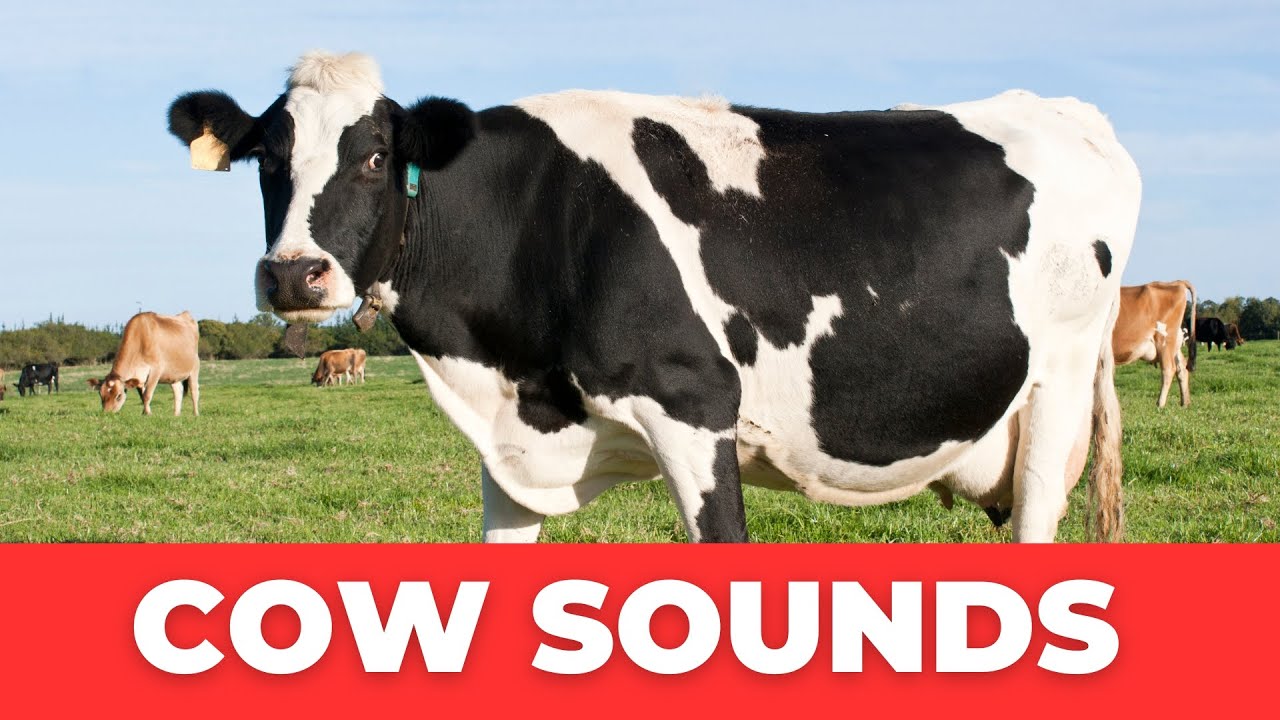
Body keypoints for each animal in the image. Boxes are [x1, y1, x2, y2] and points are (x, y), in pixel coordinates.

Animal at [168, 51, 1141, 543]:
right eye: (265, 159)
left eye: (374, 155)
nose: (294, 274)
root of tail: (1068, 110)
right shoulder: (517, 448)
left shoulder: (695, 407)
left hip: (1056, 386)